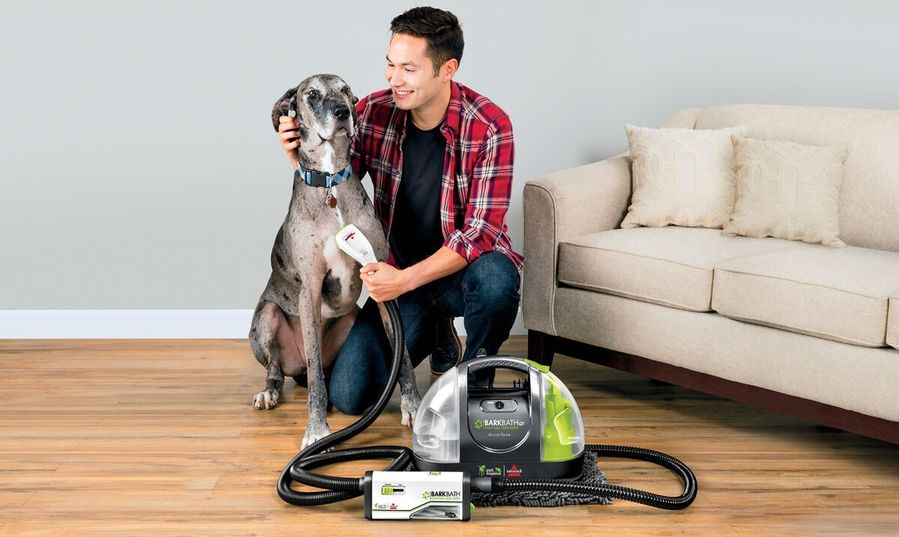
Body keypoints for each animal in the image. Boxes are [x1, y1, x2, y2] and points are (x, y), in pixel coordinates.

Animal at [251, 73, 424, 446]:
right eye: (312, 94)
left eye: (346, 91)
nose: (343, 112)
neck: (330, 182)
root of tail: (295, 369)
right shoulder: (311, 289)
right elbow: (316, 372)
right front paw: (317, 430)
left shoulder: (382, 278)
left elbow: (402, 353)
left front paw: (413, 407)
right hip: (267, 319)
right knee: (283, 370)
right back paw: (269, 392)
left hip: (351, 319)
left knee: (327, 373)